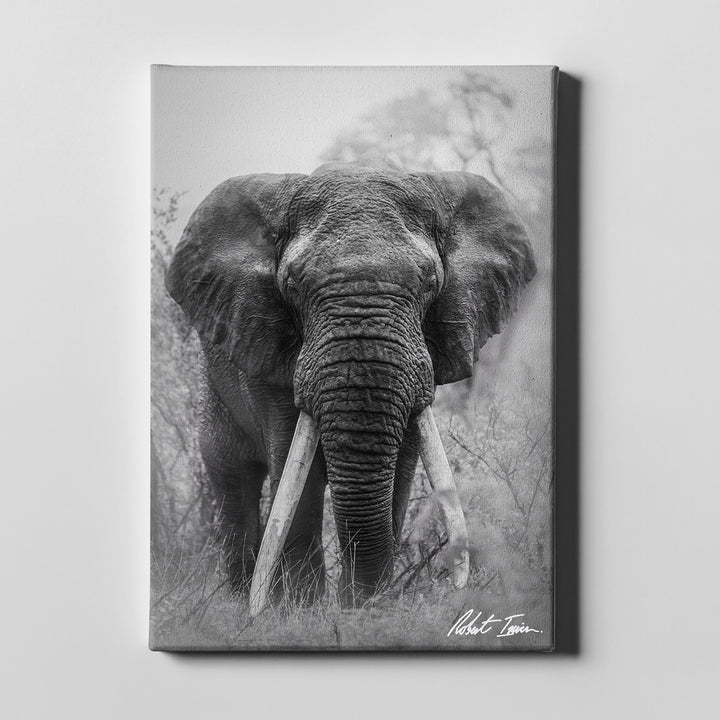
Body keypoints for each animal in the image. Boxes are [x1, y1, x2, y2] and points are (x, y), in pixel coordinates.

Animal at [165, 160, 535, 614]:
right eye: (292, 284)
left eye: (430, 283)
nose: (356, 602)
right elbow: (296, 470)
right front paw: (301, 612)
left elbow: (402, 468)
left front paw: (366, 610)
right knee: (233, 479)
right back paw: (241, 599)